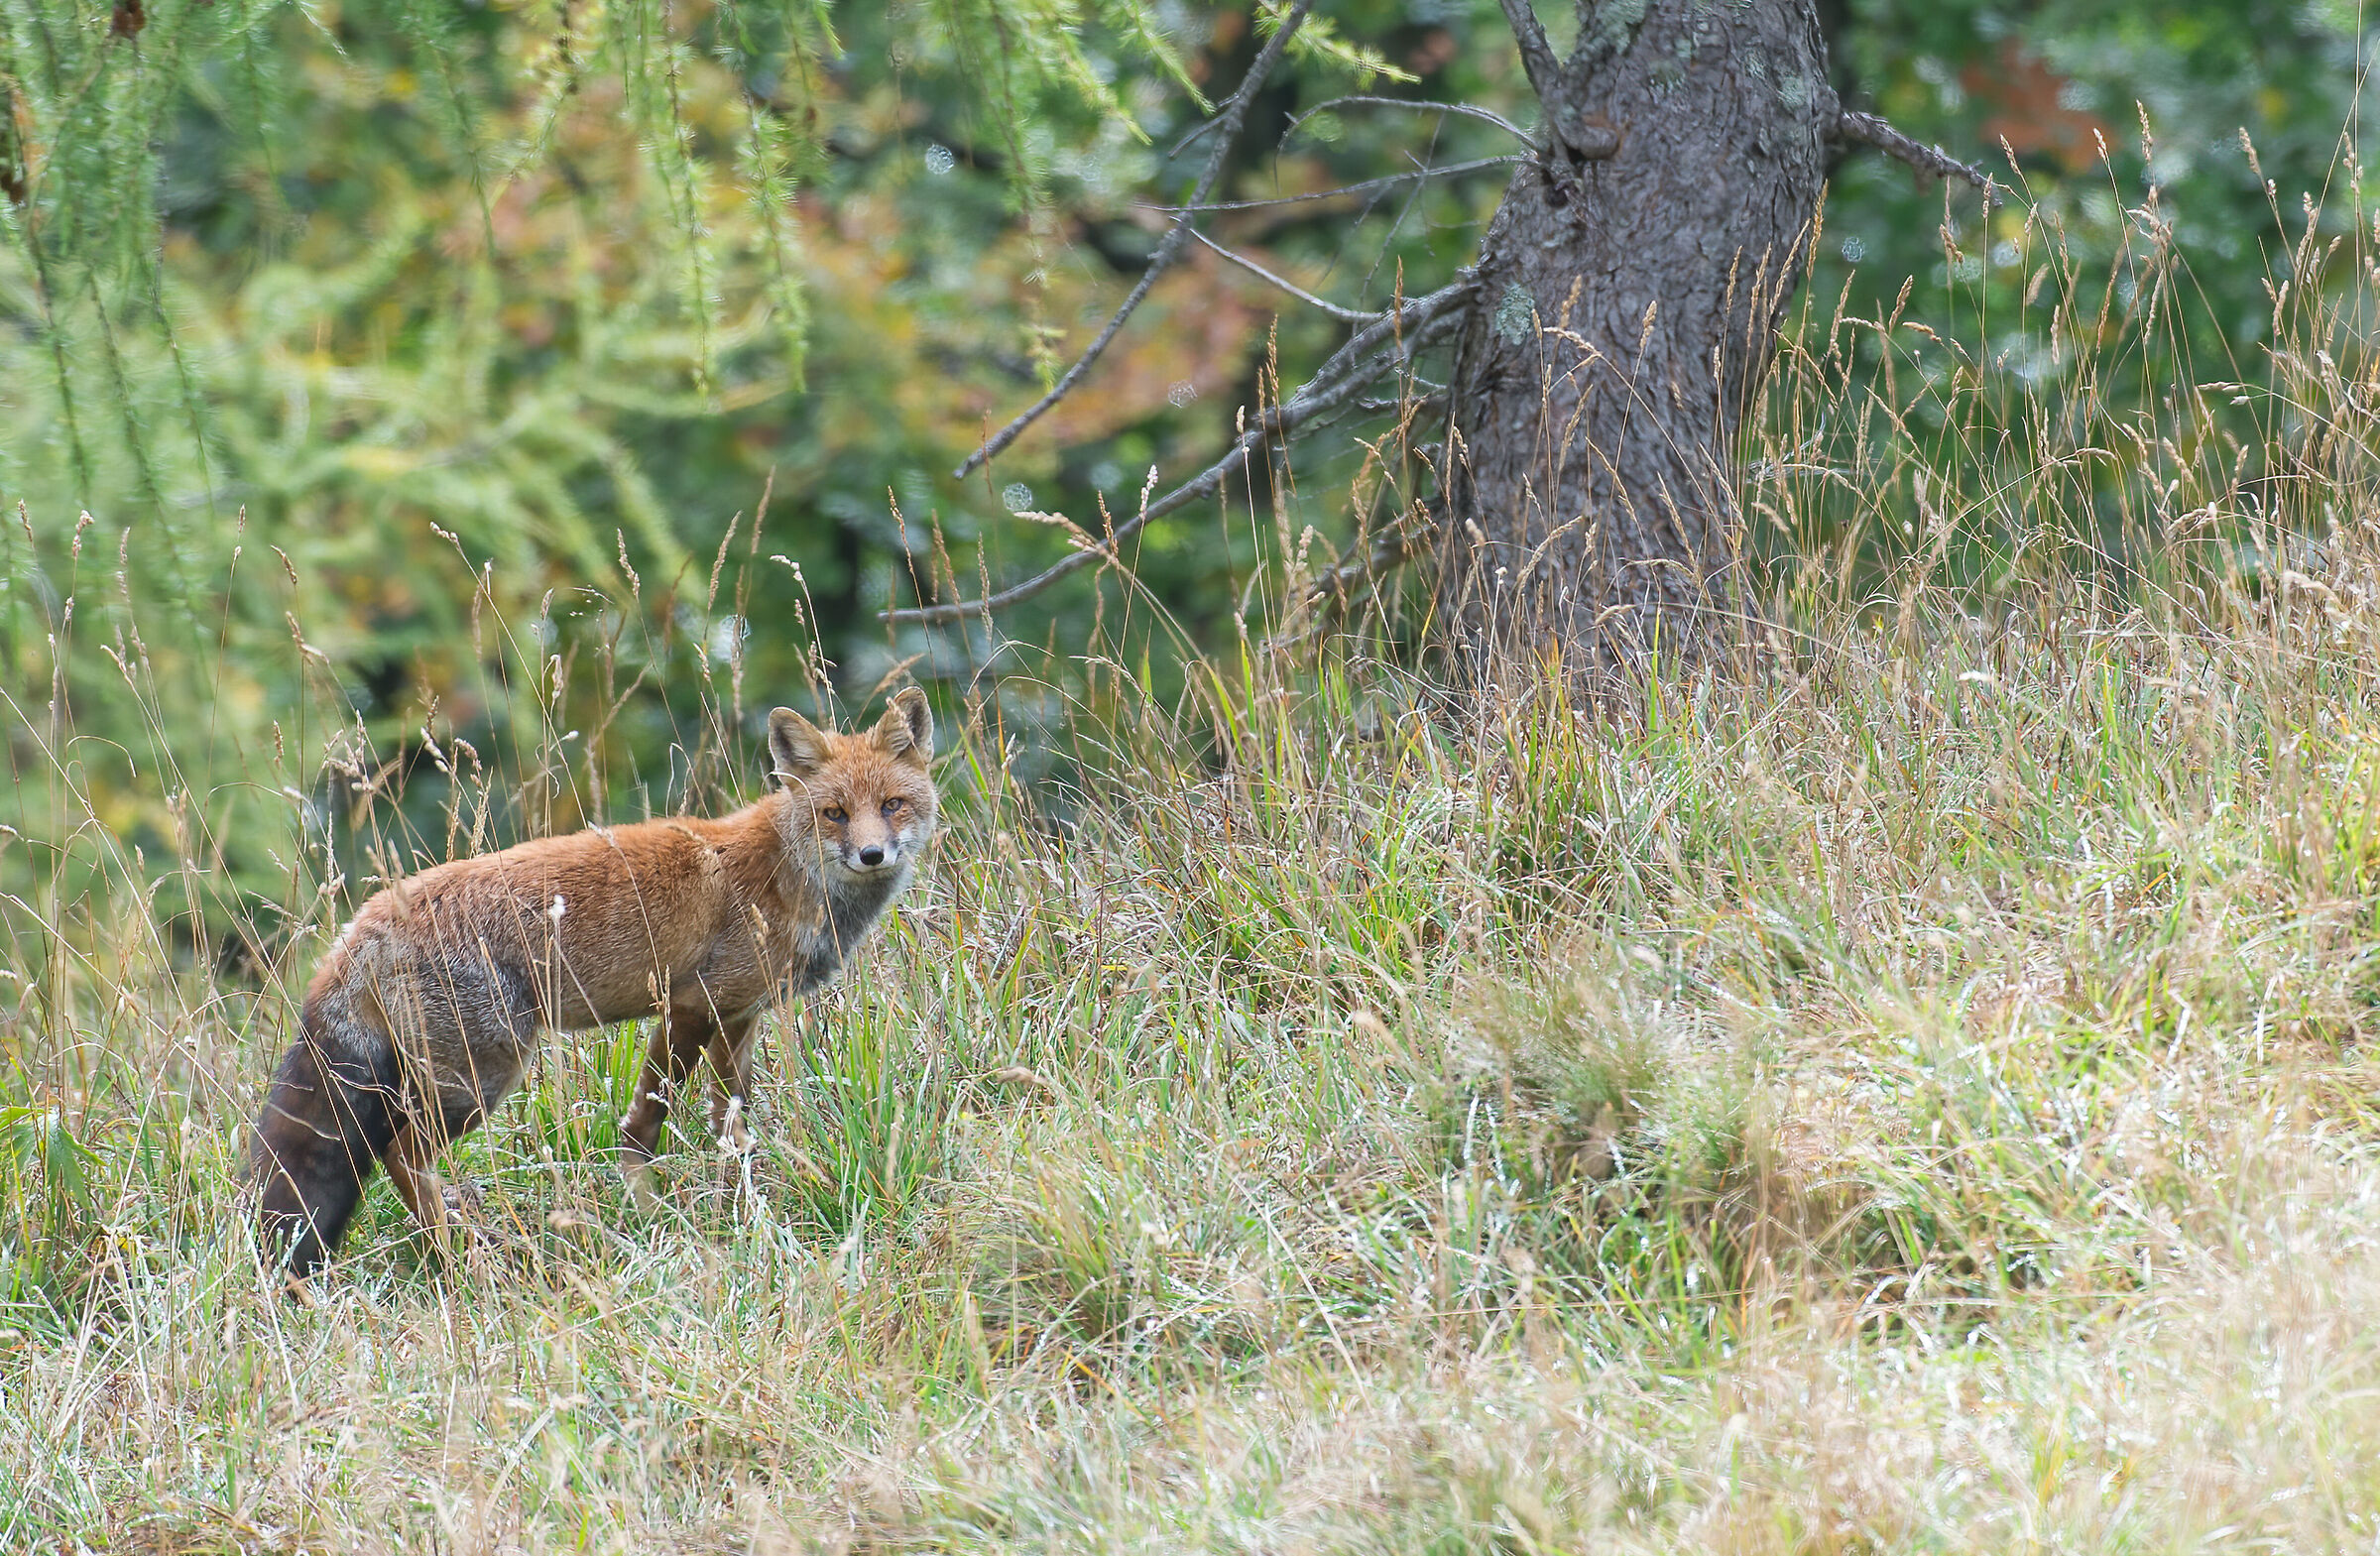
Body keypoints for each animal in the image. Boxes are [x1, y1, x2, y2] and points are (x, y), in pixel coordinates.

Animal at [247, 689, 937, 1281]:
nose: (873, 855)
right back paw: (467, 1260)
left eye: (892, 806)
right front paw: (649, 1210)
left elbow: (730, 1131)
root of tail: (364, 923)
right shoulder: (692, 1005)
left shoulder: (740, 1017)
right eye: (835, 814)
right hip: (479, 1079)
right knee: (399, 1155)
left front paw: (742, 1211)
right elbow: (646, 1123)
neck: (789, 877)